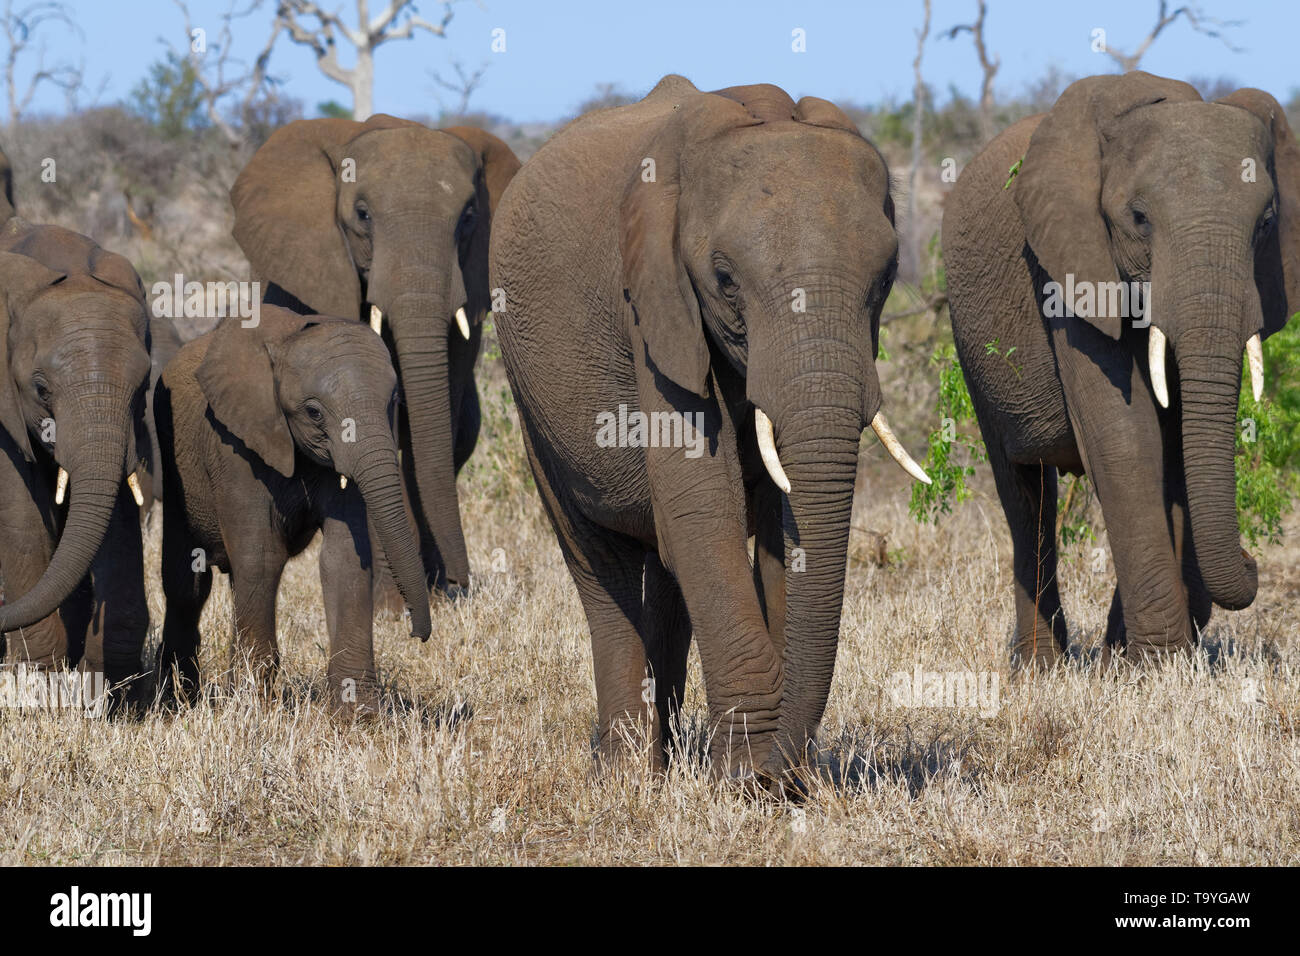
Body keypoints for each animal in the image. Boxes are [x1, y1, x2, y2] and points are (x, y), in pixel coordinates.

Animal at [154, 306, 434, 712]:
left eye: (392, 404)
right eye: (314, 412)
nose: (417, 633)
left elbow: (344, 557)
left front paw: (359, 716)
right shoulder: (234, 444)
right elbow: (261, 557)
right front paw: (256, 710)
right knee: (186, 583)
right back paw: (178, 701)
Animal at [231, 115, 520, 598]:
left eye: (469, 217)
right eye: (363, 215)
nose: (461, 583)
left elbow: (427, 424)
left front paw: (430, 592)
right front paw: (390, 603)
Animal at [491, 72, 930, 780]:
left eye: (887, 277)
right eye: (725, 281)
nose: (783, 772)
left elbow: (775, 525)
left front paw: (773, 778)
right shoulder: (652, 302)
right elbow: (701, 501)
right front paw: (744, 774)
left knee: (667, 575)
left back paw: (663, 759)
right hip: (528, 400)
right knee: (600, 566)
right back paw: (624, 768)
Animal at [946, 72, 1300, 665]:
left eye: (1267, 223)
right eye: (1139, 218)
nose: (1253, 561)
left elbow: (1175, 449)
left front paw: (1141, 661)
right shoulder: (1067, 261)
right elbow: (1126, 436)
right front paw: (1158, 663)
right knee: (1023, 490)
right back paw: (1037, 669)